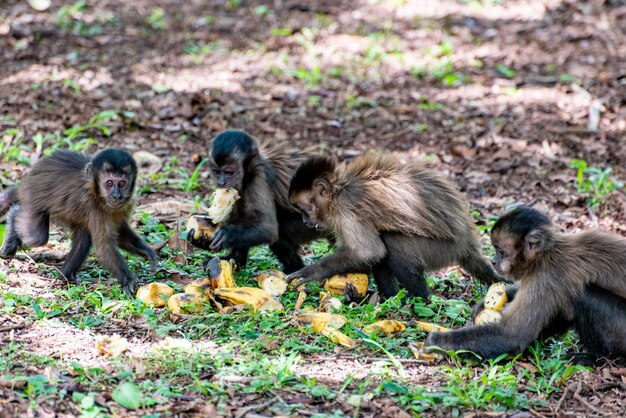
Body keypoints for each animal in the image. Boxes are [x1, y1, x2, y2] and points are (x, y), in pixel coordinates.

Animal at [0, 149, 156, 296]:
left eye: (122, 183)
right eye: (110, 183)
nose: (116, 195)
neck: (95, 191)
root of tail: (26, 181)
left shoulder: (123, 205)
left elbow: (120, 231)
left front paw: (147, 252)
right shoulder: (94, 206)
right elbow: (105, 248)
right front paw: (128, 280)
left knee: (83, 237)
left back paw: (66, 277)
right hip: (32, 199)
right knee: (37, 237)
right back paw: (13, 217)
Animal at [186, 131, 326, 274]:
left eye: (229, 172)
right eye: (216, 172)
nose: (221, 182)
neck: (249, 172)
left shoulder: (258, 179)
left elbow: (268, 229)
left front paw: (228, 234)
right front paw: (203, 241)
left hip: (313, 227)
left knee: (280, 232)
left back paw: (294, 269)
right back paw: (236, 261)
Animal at [284, 152, 498, 298]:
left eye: (304, 209)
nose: (305, 220)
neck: (339, 190)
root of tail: (467, 241)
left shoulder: (345, 210)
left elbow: (368, 252)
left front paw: (312, 272)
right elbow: (368, 256)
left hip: (444, 250)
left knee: (393, 243)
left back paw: (419, 301)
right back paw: (390, 299)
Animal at [424, 207, 624, 360]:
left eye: (500, 251)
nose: (493, 261)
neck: (546, 253)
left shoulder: (546, 275)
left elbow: (512, 336)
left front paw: (437, 342)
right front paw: (484, 304)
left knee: (585, 295)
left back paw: (596, 357)